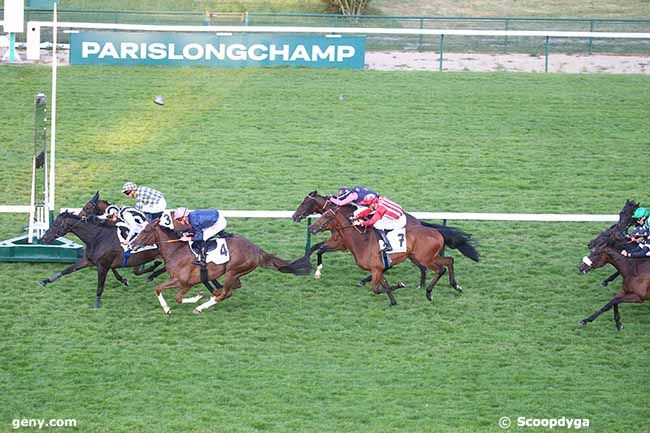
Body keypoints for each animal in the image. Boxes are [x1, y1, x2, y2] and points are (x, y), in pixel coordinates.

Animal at [130, 219, 310, 314]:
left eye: (145, 231)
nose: (132, 244)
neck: (176, 251)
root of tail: (257, 250)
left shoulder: (184, 282)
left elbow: (172, 295)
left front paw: (176, 305)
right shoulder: (181, 282)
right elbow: (163, 291)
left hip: (232, 270)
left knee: (226, 293)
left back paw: (202, 306)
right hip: (234, 273)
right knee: (232, 288)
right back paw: (214, 293)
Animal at [292, 190, 478, 286]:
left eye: (304, 203)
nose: (294, 216)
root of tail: (419, 222)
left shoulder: (343, 242)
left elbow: (319, 248)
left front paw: (313, 269)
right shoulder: (338, 242)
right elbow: (316, 248)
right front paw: (307, 265)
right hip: (413, 254)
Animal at [306, 205, 468, 304]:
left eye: (327, 216)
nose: (311, 228)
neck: (361, 240)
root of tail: (437, 232)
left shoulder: (376, 269)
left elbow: (376, 289)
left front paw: (400, 285)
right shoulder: (378, 268)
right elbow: (382, 286)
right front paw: (393, 302)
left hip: (425, 258)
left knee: (441, 269)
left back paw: (429, 292)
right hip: (428, 256)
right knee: (449, 260)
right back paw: (456, 286)